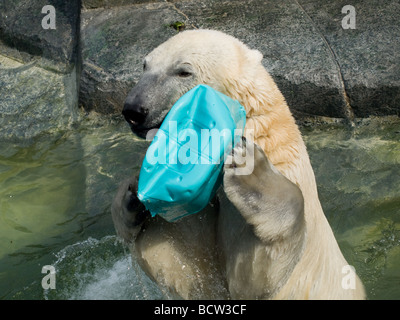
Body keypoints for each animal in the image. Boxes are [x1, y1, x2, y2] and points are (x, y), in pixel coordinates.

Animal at [111, 30, 366, 300]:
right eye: (145, 65)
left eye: (183, 71)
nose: (134, 110)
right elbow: (178, 261)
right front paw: (132, 196)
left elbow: (255, 272)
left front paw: (252, 170)